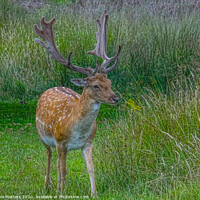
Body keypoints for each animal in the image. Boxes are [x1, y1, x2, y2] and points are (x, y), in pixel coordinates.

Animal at [33, 10, 120, 196]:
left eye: (109, 83)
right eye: (95, 85)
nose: (115, 98)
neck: (77, 129)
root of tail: (49, 88)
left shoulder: (88, 143)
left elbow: (91, 168)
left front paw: (94, 193)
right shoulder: (60, 141)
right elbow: (64, 169)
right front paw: (62, 193)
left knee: (56, 161)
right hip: (42, 134)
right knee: (49, 154)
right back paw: (47, 185)